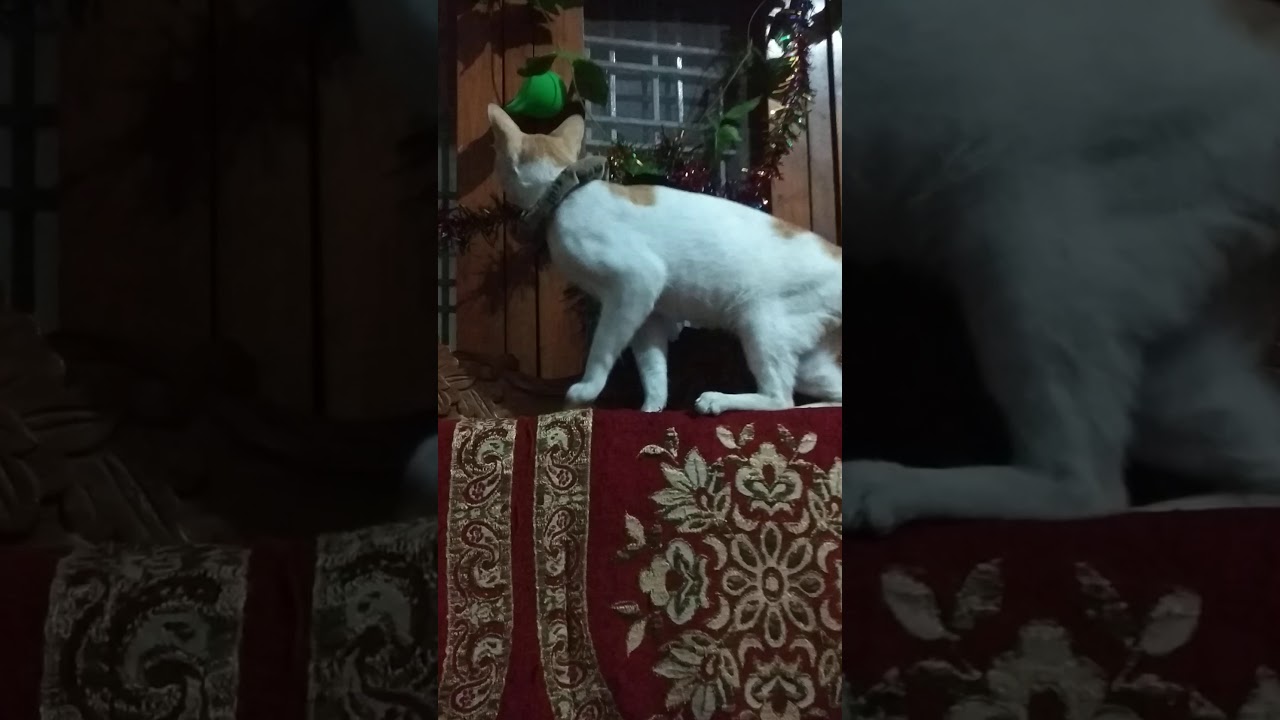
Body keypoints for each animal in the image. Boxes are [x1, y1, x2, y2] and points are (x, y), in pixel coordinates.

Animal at [487, 104, 843, 414]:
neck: (564, 193)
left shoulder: (637, 281)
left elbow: (603, 348)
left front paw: (585, 390)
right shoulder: (649, 314)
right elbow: (654, 369)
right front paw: (651, 409)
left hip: (760, 322)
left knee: (780, 398)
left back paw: (717, 400)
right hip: (806, 355)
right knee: (828, 393)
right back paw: (815, 407)